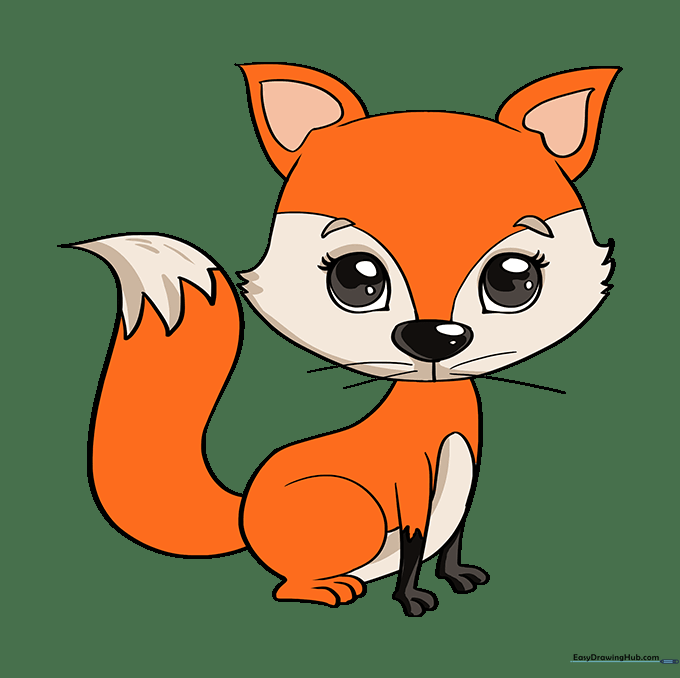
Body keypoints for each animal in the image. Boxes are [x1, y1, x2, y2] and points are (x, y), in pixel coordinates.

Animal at [66, 63, 619, 617]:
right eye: (356, 278)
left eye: (513, 278)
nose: (434, 338)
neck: (437, 418)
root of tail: (244, 510)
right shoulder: (408, 491)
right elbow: (416, 547)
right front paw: (411, 599)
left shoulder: (465, 485)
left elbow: (452, 541)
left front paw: (458, 577)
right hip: (356, 509)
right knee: (288, 585)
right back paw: (328, 589)